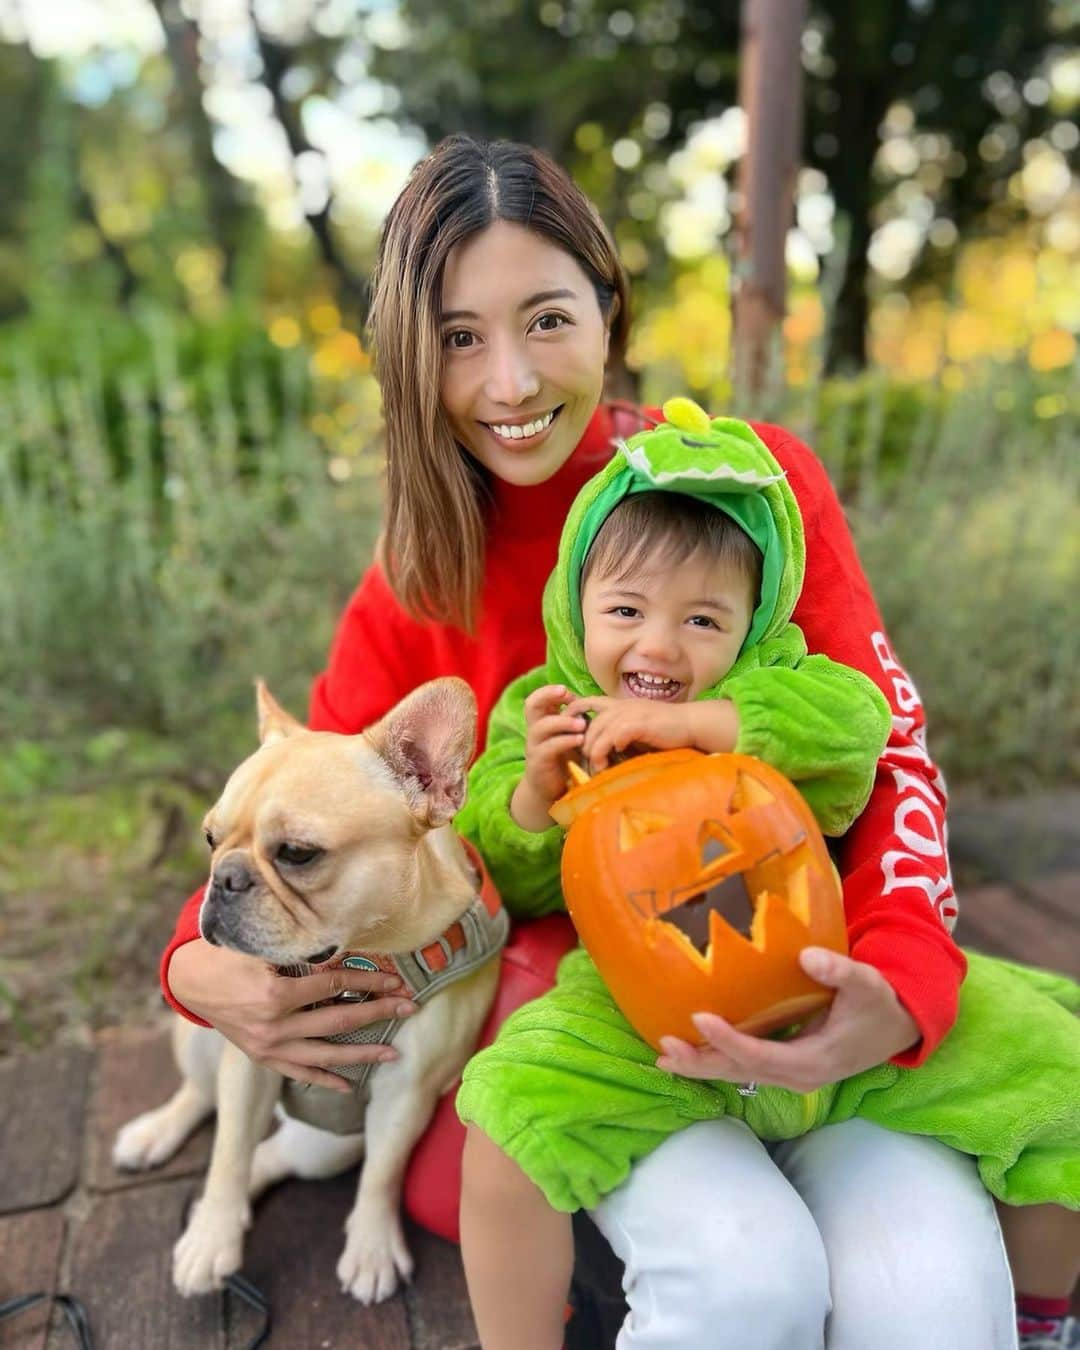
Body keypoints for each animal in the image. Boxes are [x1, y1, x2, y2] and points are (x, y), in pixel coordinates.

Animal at [114, 680, 502, 1301]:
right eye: (209, 839)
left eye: (297, 853)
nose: (223, 878)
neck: (363, 954)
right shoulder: (251, 1058)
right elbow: (227, 1153)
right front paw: (211, 1241)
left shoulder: (408, 1093)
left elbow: (383, 1172)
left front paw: (371, 1248)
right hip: (200, 1036)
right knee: (204, 1100)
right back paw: (158, 1140)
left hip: (331, 1145)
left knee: (271, 1156)